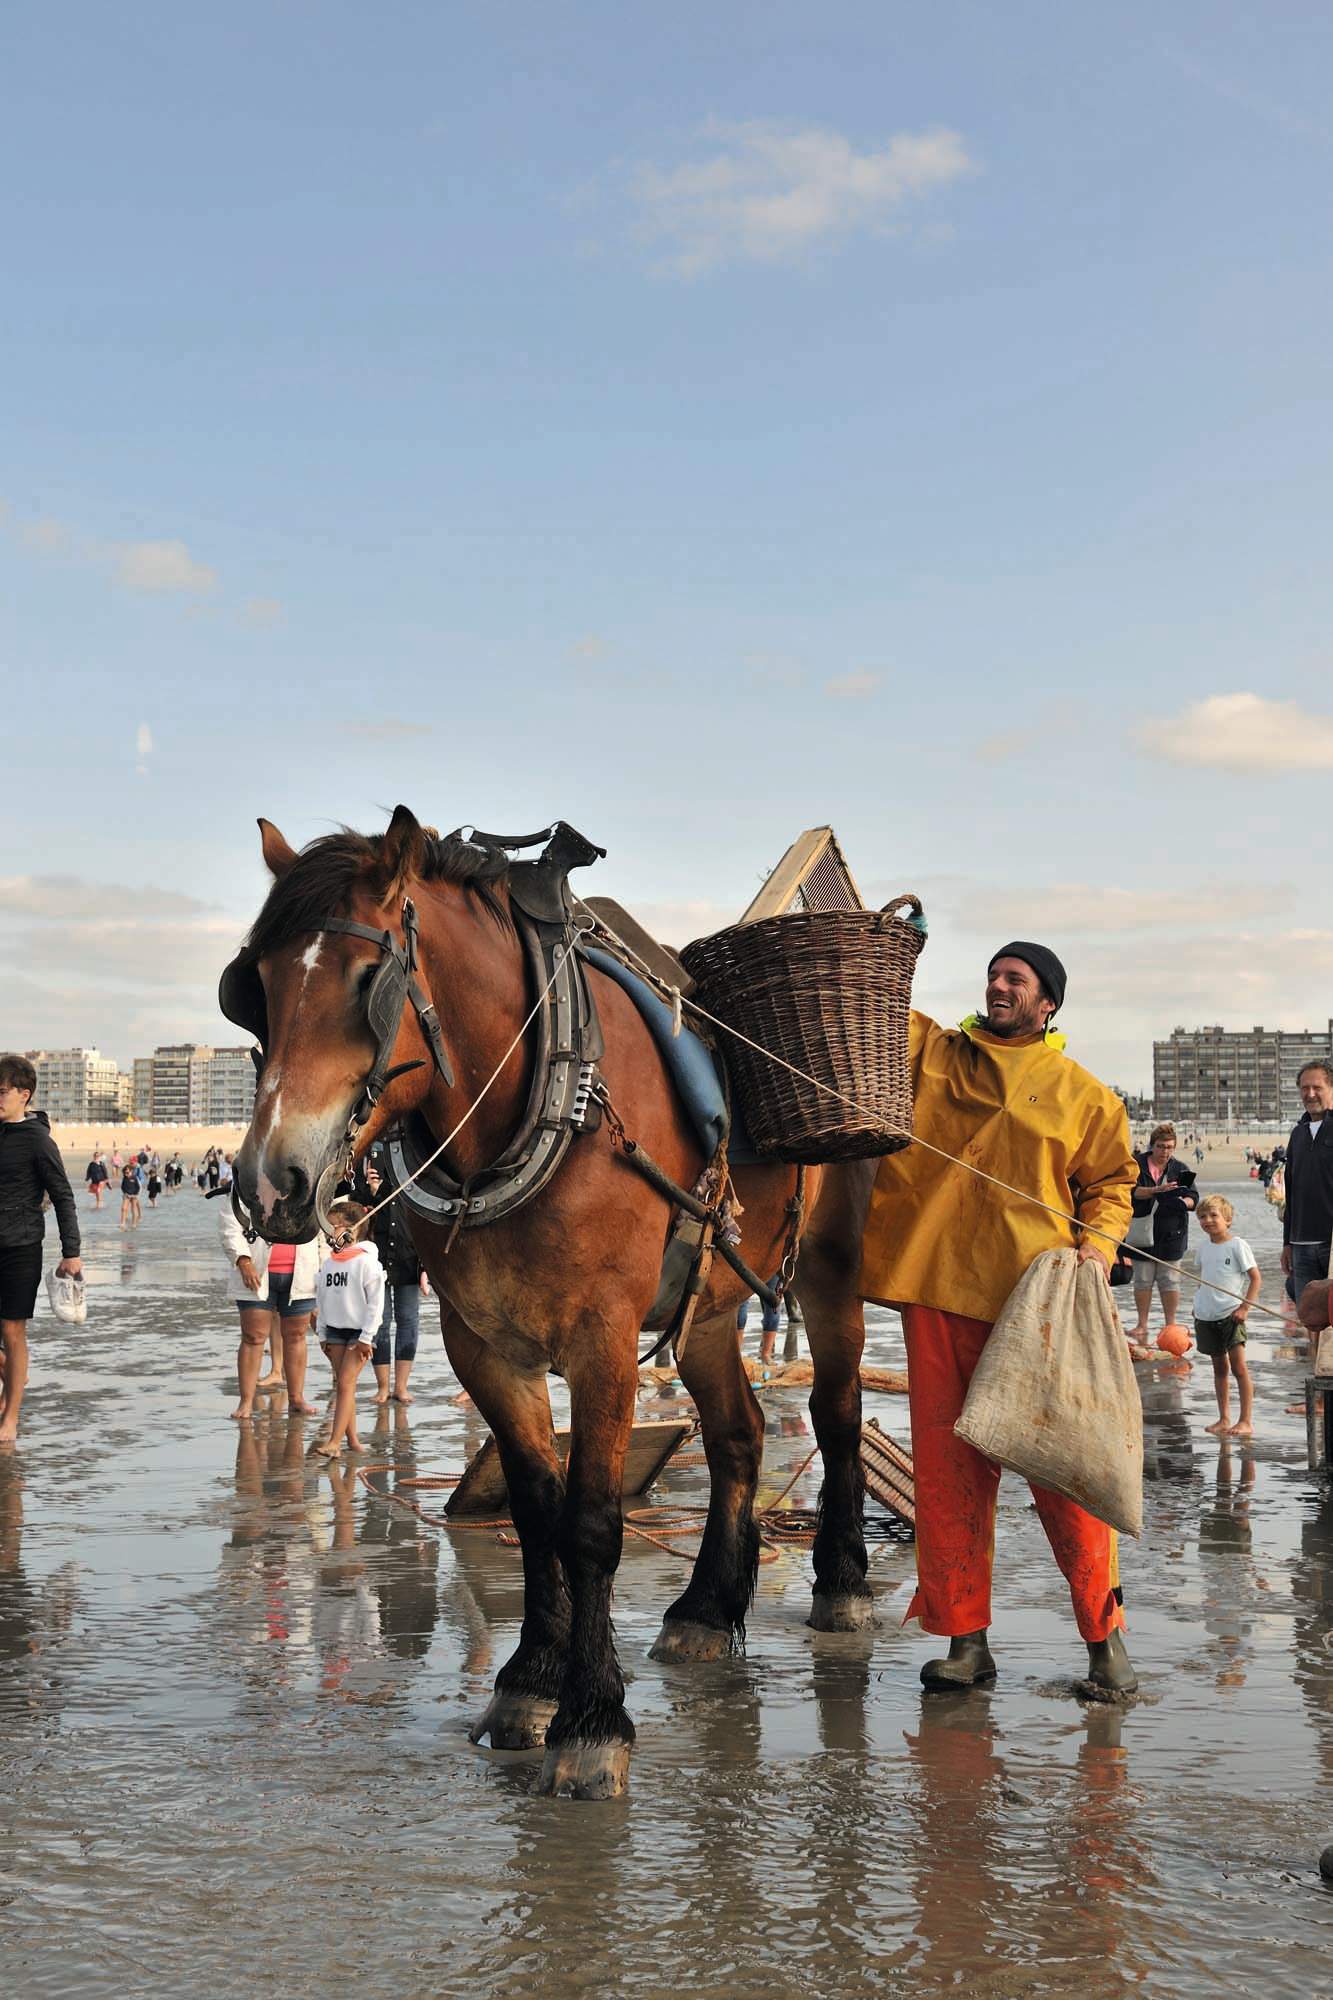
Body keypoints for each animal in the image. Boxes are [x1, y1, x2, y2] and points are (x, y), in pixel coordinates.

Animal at [228, 804, 872, 1808]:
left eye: (371, 982)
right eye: (254, 986)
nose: (270, 1181)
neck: (537, 1094)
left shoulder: (602, 1338)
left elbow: (592, 1524)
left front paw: (591, 1720)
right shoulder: (482, 1343)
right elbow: (535, 1510)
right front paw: (530, 1683)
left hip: (830, 1270)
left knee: (837, 1413)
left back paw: (841, 1583)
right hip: (708, 1307)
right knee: (738, 1434)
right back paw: (704, 1608)